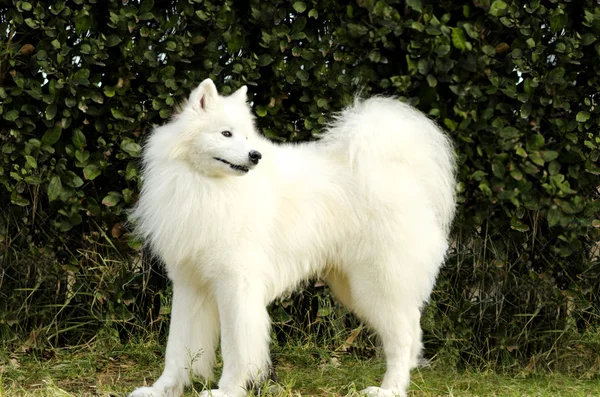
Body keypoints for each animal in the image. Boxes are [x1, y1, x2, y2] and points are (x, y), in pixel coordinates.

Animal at [127, 78, 454, 396]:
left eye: (248, 138)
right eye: (226, 133)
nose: (255, 156)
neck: (207, 186)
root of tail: (401, 174)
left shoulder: (236, 285)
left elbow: (236, 349)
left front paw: (227, 390)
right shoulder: (189, 285)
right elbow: (178, 348)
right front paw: (161, 390)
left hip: (377, 285)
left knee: (403, 338)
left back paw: (389, 389)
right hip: (354, 287)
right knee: (412, 333)